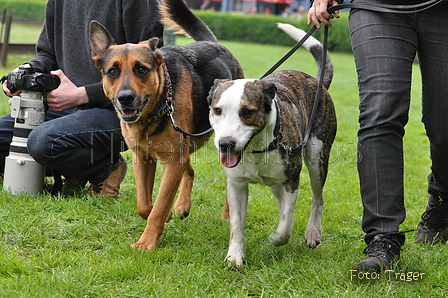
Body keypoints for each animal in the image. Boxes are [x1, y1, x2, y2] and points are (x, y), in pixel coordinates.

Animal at [89, 0, 243, 250]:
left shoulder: (172, 163)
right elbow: (144, 205)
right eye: (112, 71)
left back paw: (228, 214)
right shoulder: (143, 158)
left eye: (141, 69)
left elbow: (159, 206)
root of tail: (215, 44)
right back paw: (182, 205)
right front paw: (167, 213)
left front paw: (147, 242)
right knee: (189, 169)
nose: (125, 98)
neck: (158, 107)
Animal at [206, 23, 336, 266]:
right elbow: (236, 224)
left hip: (317, 155)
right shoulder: (236, 184)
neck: (257, 148)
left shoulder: (292, 179)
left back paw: (313, 232)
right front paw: (234, 256)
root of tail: (318, 82)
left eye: (248, 112)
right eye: (217, 110)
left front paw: (276, 237)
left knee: (317, 197)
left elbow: (285, 225)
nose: (226, 144)